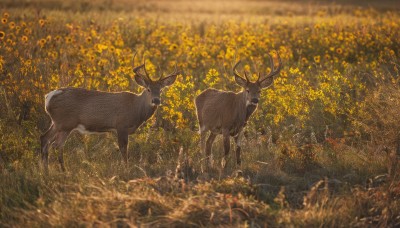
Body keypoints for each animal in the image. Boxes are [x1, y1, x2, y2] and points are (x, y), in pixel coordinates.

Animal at [40, 56, 180, 172]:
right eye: (148, 89)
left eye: (161, 90)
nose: (156, 100)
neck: (136, 108)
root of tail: (48, 97)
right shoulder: (121, 125)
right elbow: (124, 149)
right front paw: (126, 169)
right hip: (64, 123)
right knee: (52, 142)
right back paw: (57, 171)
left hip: (59, 123)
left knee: (49, 141)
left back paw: (51, 170)